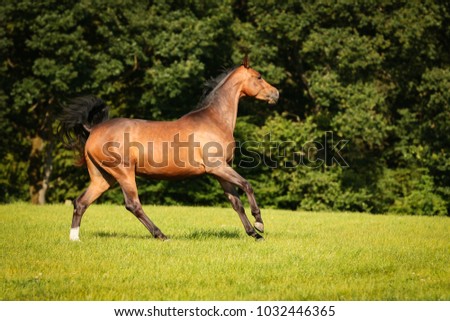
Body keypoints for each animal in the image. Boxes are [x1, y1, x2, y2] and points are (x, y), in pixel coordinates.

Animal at [59, 56, 278, 240]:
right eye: (258, 76)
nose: (276, 93)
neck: (214, 120)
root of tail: (94, 129)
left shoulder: (220, 171)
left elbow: (236, 202)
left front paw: (253, 234)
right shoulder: (217, 166)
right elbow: (247, 185)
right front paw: (259, 224)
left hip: (103, 177)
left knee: (81, 202)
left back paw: (74, 238)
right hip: (123, 173)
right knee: (133, 204)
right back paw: (161, 235)